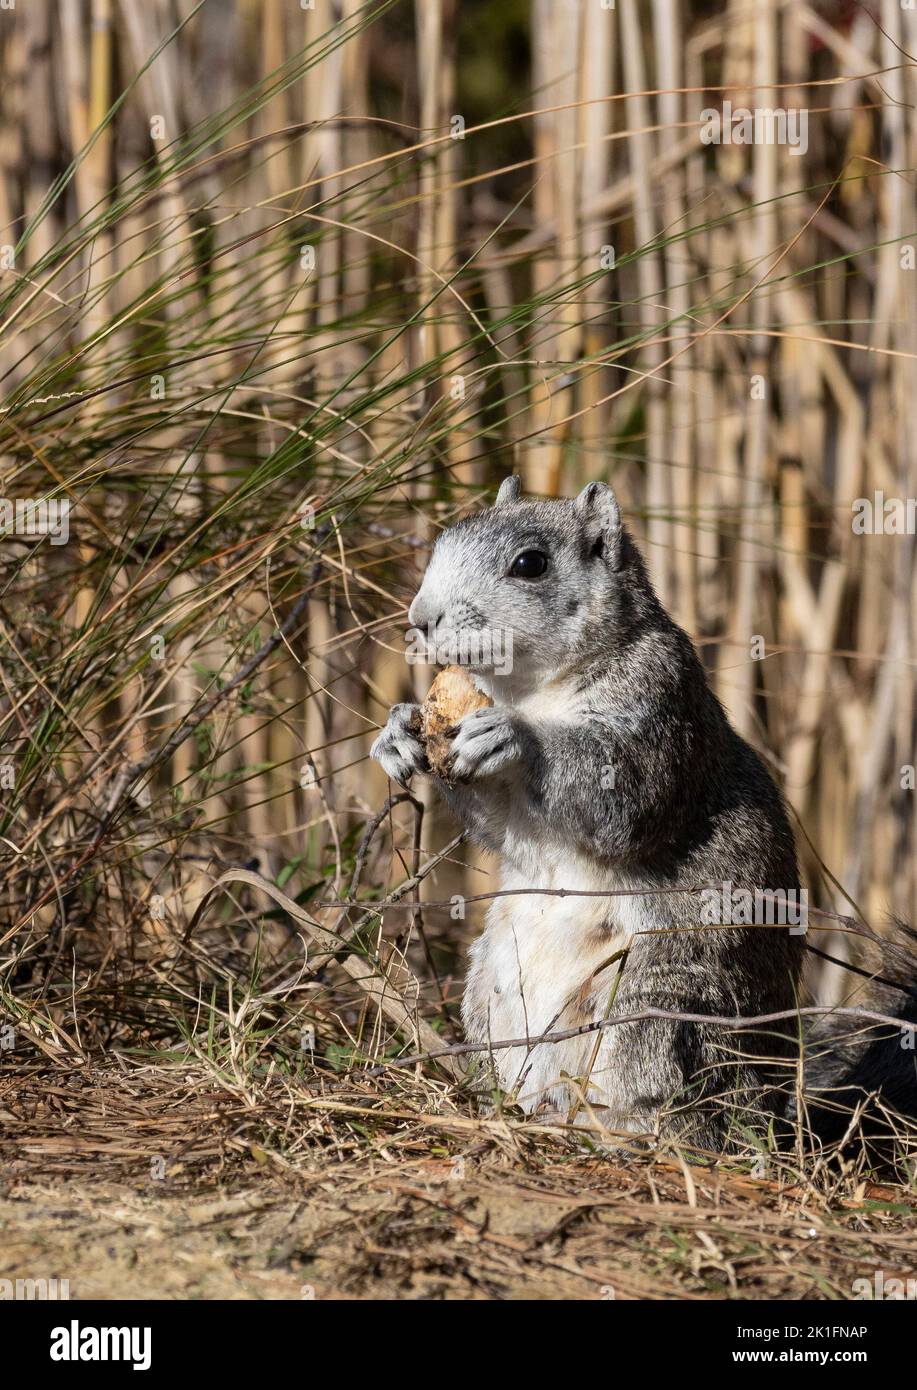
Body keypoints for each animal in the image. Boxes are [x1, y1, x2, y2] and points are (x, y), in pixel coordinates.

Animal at [371, 477, 916, 1154]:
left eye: (531, 564)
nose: (420, 619)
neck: (532, 689)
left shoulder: (661, 705)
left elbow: (625, 800)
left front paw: (514, 737)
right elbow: (498, 828)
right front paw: (398, 732)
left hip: (660, 1003)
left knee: (670, 1099)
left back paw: (626, 1134)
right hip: (490, 991)